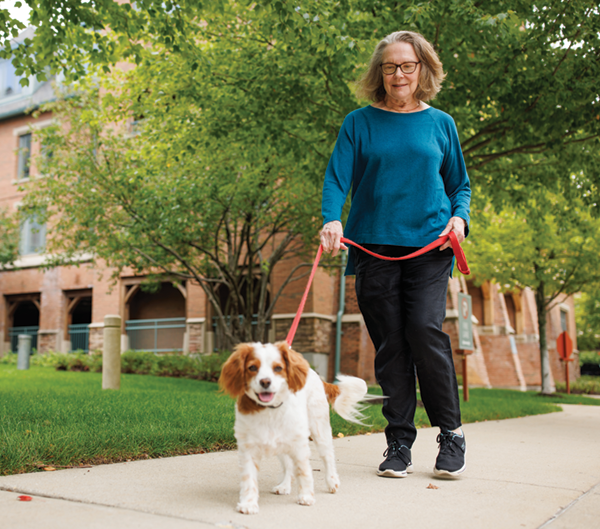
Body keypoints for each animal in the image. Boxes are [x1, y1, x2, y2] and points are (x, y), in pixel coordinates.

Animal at [219, 340, 368, 512]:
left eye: (278, 368)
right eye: (252, 368)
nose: (265, 382)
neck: (270, 410)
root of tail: (313, 373)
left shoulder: (300, 445)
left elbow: (304, 472)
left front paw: (306, 497)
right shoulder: (248, 448)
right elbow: (249, 479)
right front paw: (248, 504)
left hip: (320, 430)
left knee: (328, 456)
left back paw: (332, 482)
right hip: (283, 444)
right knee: (288, 466)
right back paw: (284, 486)